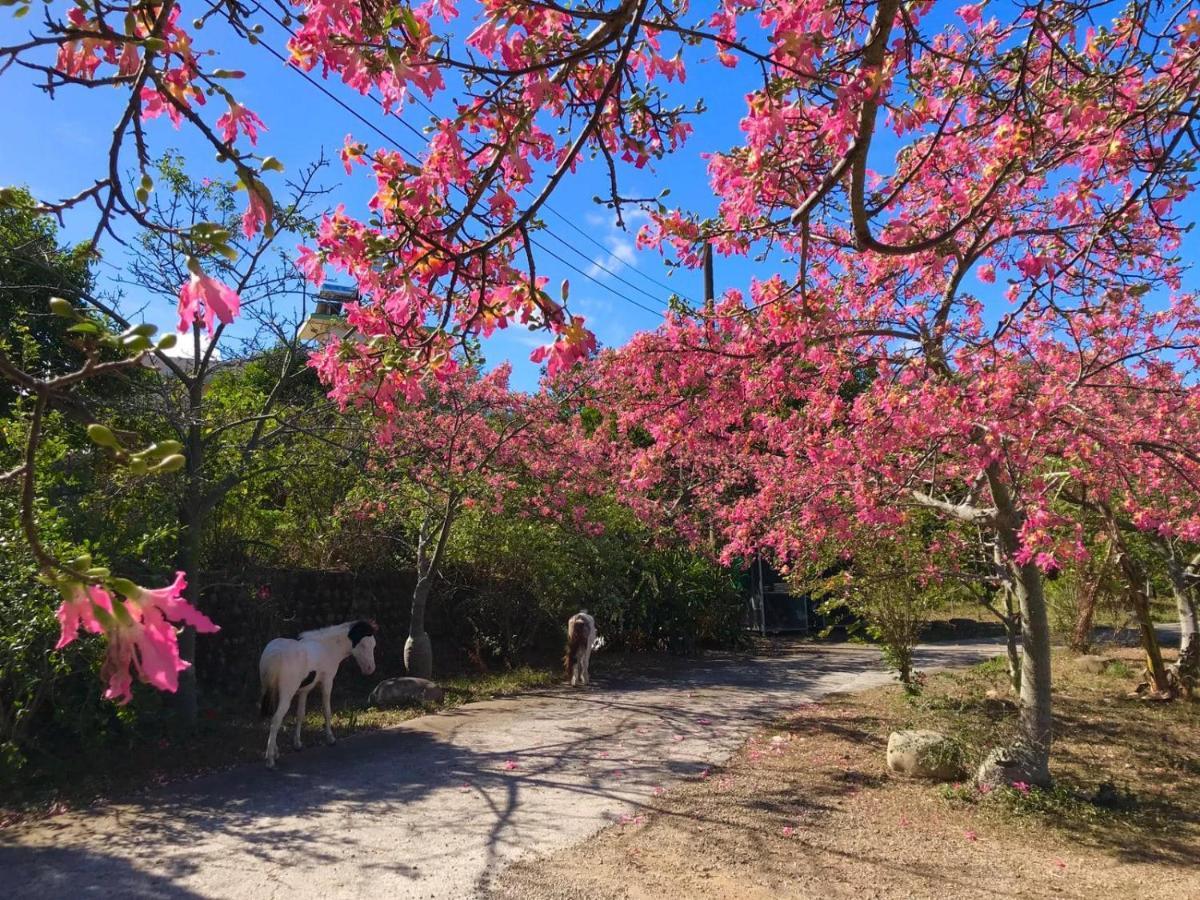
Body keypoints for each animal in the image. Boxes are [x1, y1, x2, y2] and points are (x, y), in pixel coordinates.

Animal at [258, 619, 374, 768]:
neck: (327, 647)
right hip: (286, 695)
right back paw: (270, 759)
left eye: (373, 645)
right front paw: (330, 738)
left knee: (271, 718)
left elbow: (300, 715)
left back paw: (275, 752)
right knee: (276, 720)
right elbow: (327, 711)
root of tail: (274, 654)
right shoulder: (327, 681)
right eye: (364, 645)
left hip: (270, 692)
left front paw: (297, 744)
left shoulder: (304, 691)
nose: (370, 669)